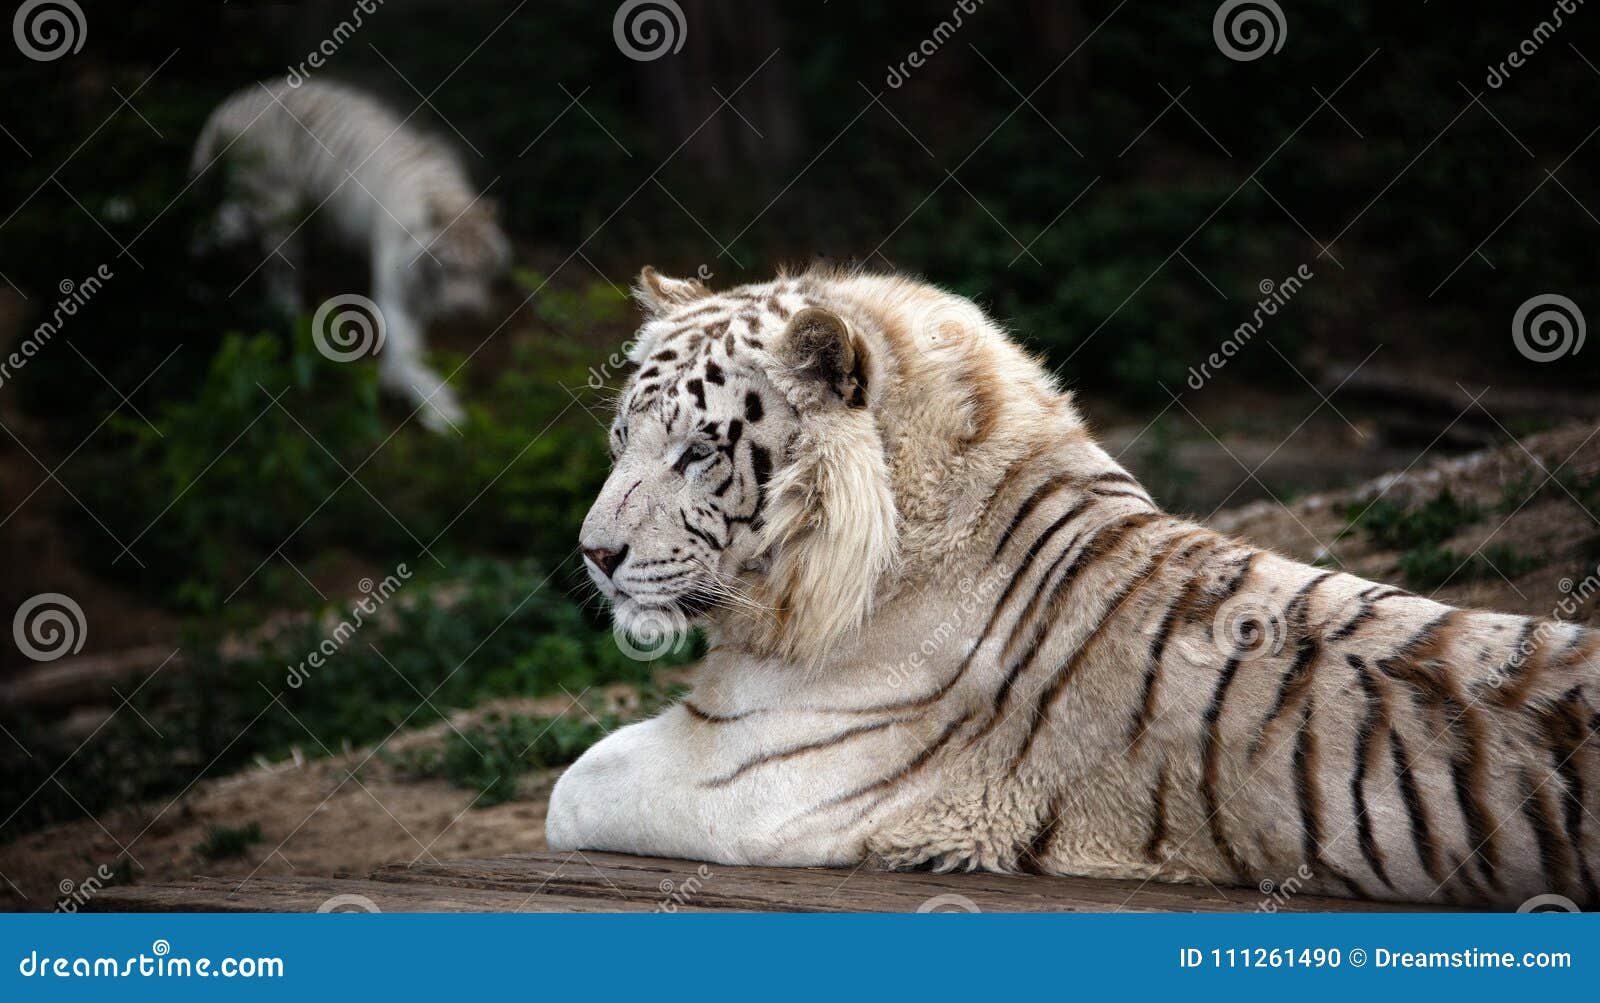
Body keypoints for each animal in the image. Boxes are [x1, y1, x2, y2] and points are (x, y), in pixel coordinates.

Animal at [191, 79, 511, 433]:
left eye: (481, 267)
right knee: (278, 273)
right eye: (450, 267)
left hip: (244, 206)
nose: (467, 310)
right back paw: (286, 316)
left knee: (208, 228)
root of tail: (234, 103)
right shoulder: (396, 292)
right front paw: (443, 413)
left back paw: (197, 283)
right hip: (279, 210)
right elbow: (407, 352)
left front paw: (395, 383)